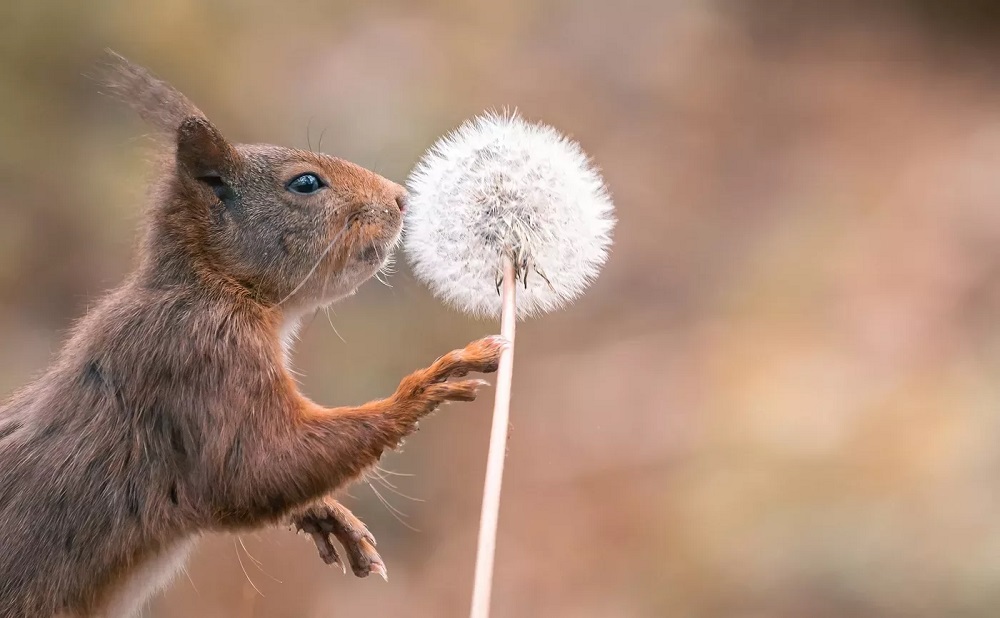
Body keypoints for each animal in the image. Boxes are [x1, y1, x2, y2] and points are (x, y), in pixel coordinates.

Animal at [0, 52, 505, 618]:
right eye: (305, 184)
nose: (401, 198)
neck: (214, 285)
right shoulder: (200, 357)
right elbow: (256, 469)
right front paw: (429, 384)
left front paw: (325, 513)